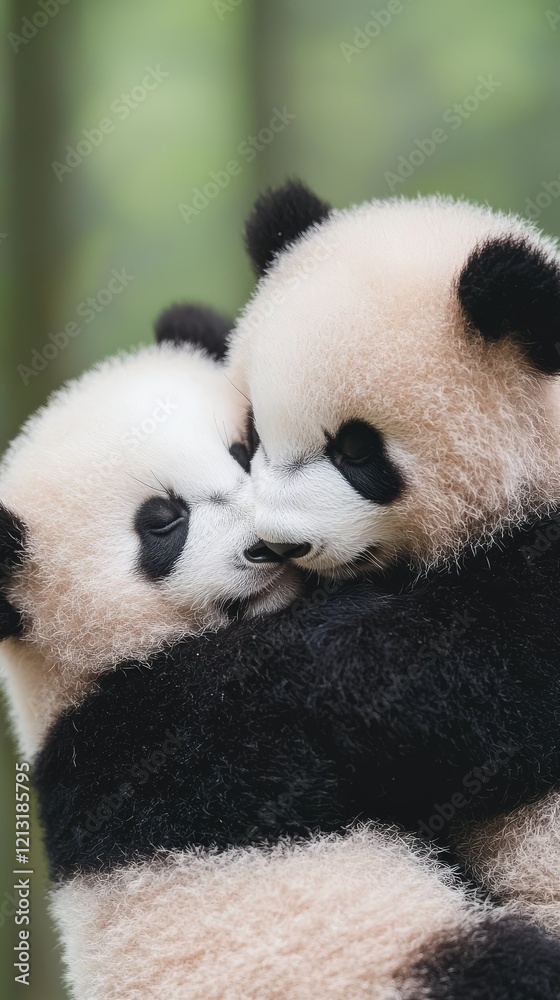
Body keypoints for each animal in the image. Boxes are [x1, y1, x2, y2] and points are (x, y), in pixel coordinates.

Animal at [3, 309, 559, 997]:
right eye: (161, 522)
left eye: (242, 452)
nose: (263, 546)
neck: (77, 677)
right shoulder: (184, 726)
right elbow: (440, 686)